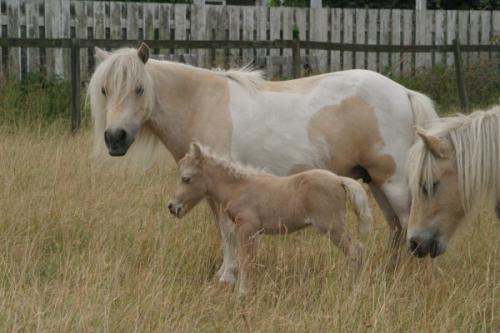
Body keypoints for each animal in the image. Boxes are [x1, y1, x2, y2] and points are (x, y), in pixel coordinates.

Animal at [169, 143, 376, 294]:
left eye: (186, 178)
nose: (172, 207)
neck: (239, 187)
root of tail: (340, 180)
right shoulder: (249, 231)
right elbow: (246, 259)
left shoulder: (247, 227)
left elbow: (245, 261)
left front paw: (241, 294)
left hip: (332, 227)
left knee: (355, 251)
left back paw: (355, 291)